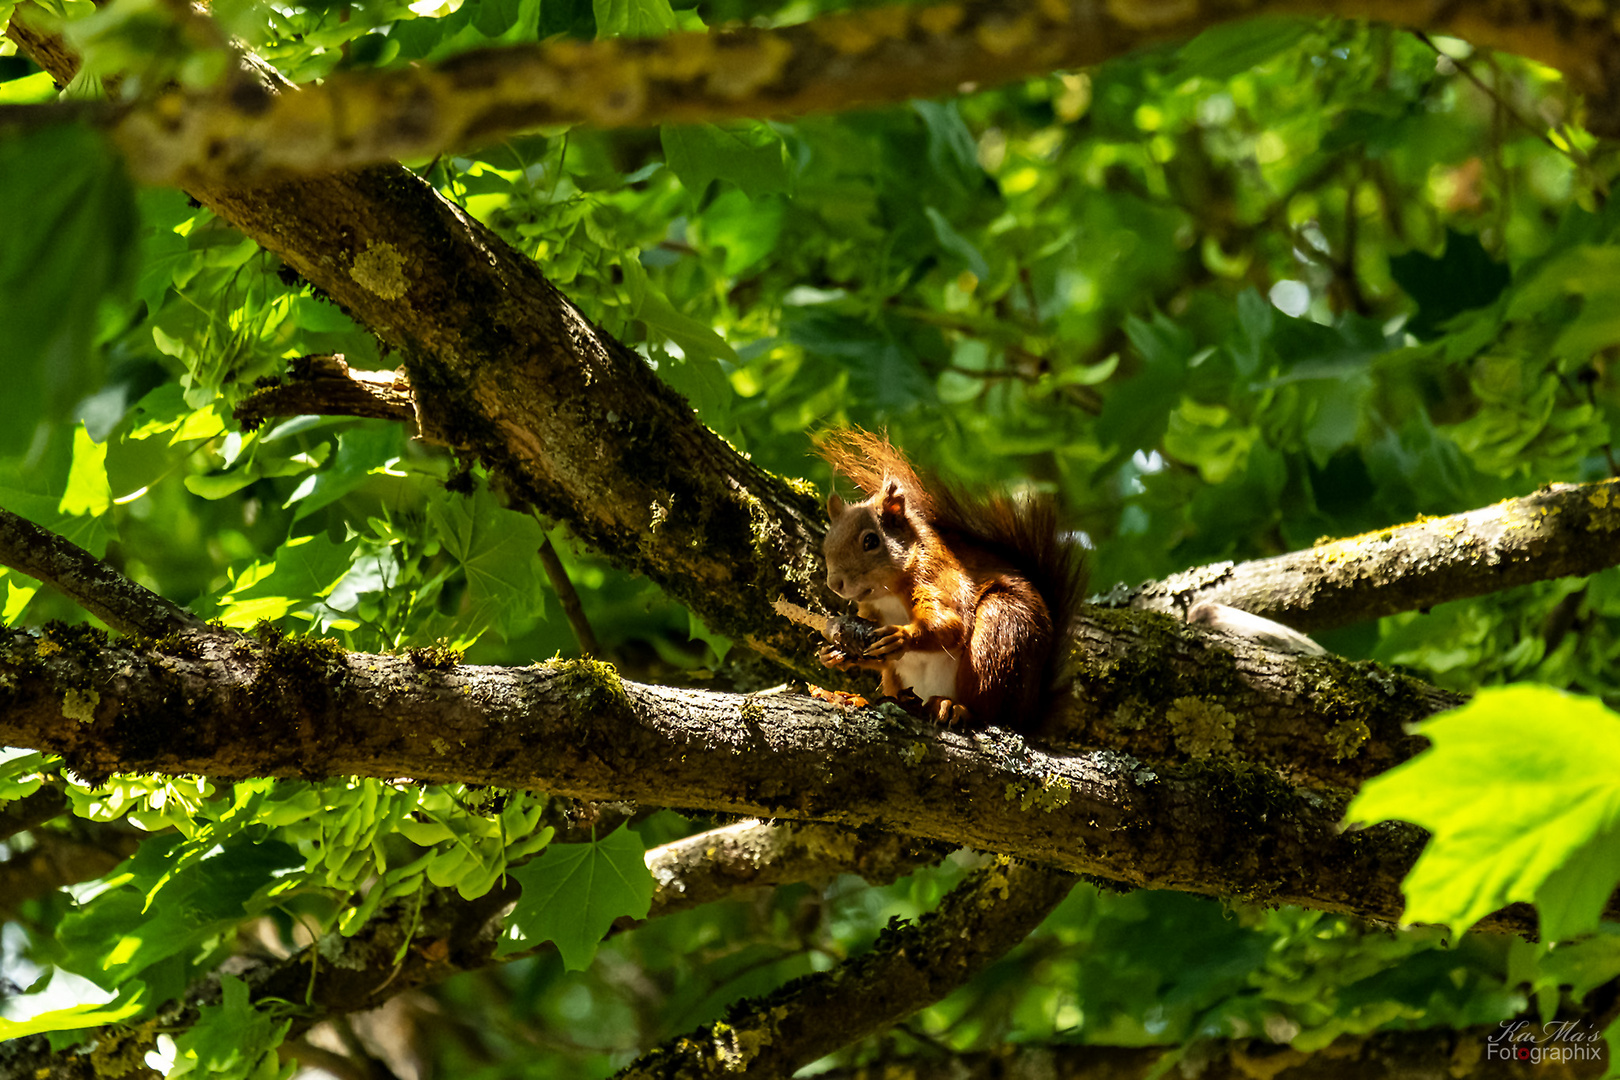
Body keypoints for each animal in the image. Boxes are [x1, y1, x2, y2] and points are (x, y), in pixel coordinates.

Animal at [816, 430, 1082, 735]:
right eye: (827, 542)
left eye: (870, 541)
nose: (835, 583)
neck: (887, 596)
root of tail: (1030, 713)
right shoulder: (869, 612)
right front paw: (834, 653)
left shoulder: (937, 578)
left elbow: (950, 624)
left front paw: (902, 636)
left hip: (999, 635)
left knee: (990, 710)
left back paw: (956, 708)